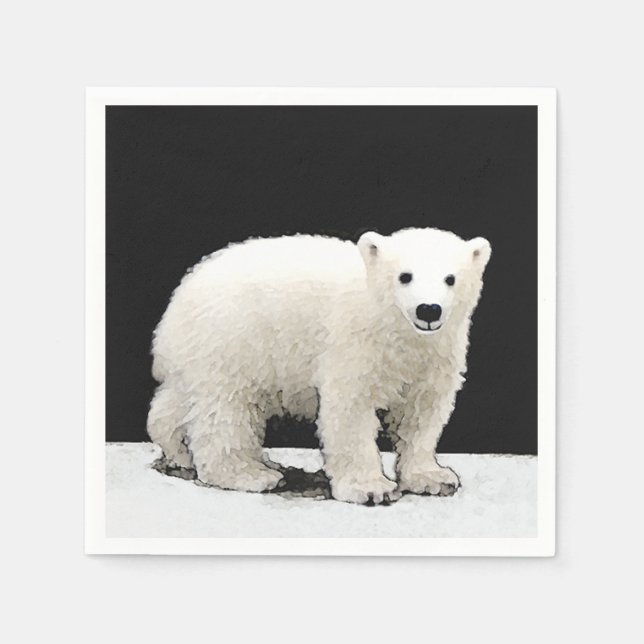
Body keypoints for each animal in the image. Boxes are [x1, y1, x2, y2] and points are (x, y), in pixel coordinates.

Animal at [147, 227, 491, 505]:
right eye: (405, 276)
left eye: (450, 278)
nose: (428, 309)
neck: (395, 329)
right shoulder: (354, 342)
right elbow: (350, 410)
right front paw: (371, 488)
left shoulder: (436, 355)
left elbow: (422, 414)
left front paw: (434, 478)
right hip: (233, 340)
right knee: (226, 410)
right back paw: (250, 473)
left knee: (179, 403)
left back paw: (181, 452)